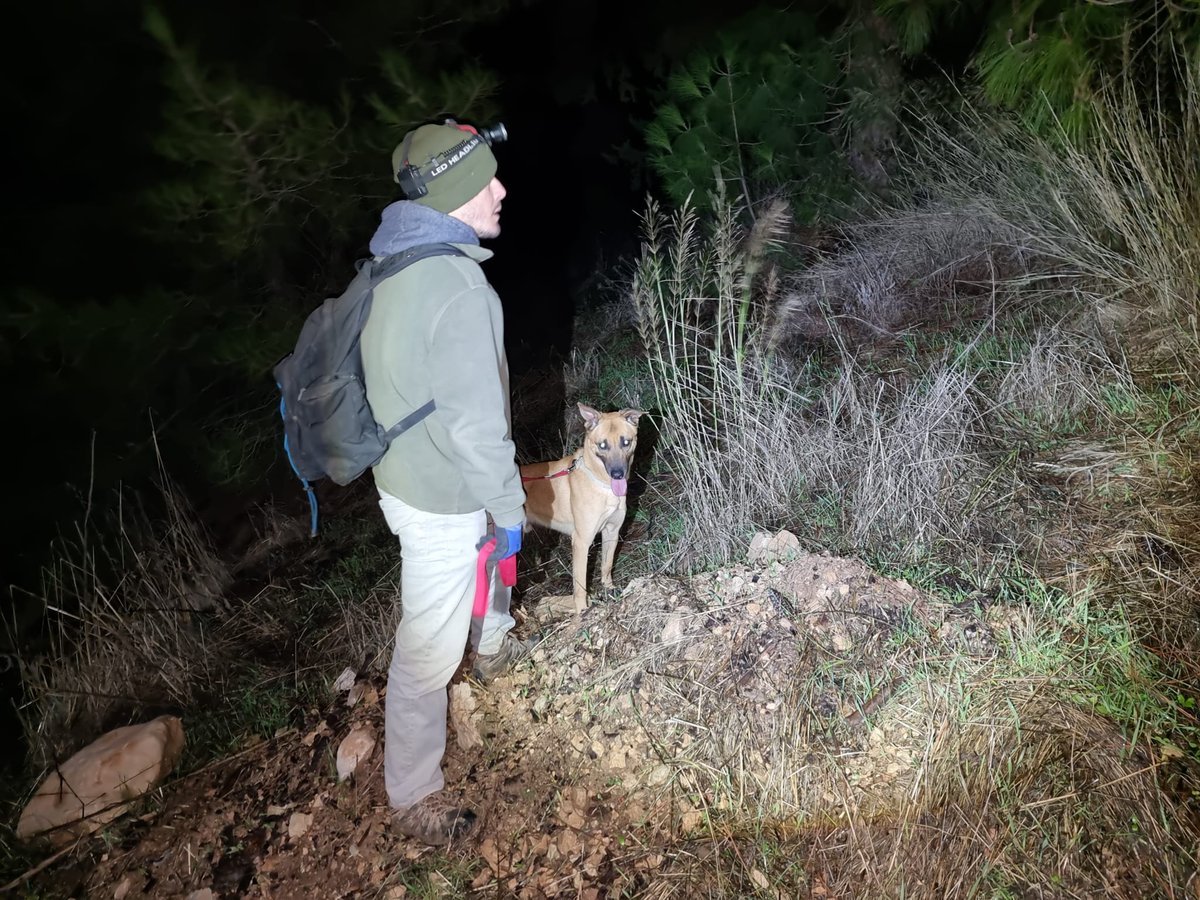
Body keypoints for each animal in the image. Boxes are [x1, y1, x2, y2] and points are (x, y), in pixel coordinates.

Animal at [518, 408, 643, 614]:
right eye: (602, 445)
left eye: (626, 442)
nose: (618, 474)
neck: (602, 485)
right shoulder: (581, 542)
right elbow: (580, 585)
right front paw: (582, 610)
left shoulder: (612, 531)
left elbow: (607, 565)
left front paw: (609, 589)